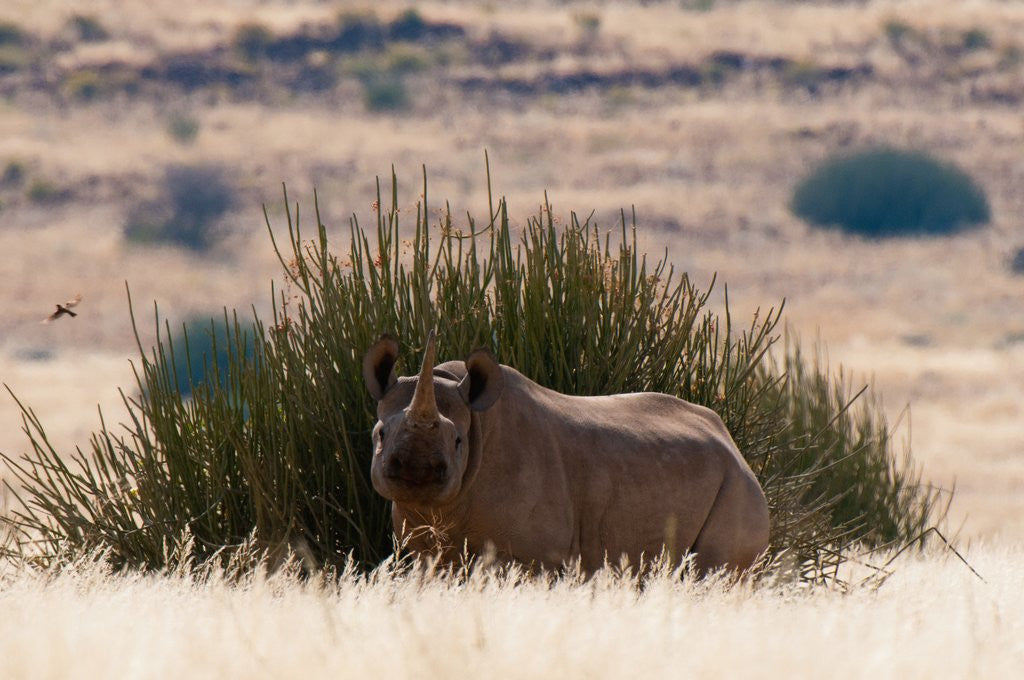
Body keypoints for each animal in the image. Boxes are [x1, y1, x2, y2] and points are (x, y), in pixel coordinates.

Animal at [363, 332, 770, 574]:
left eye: (458, 441)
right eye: (380, 434)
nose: (416, 469)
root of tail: (732, 444)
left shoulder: (535, 557)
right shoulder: (425, 548)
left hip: (737, 484)